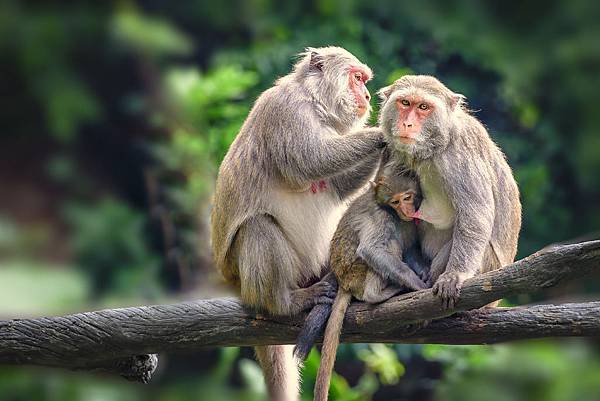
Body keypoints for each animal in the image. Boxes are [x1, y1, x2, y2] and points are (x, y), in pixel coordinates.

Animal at [211, 47, 384, 400]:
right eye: (357, 78)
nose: (366, 95)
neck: (315, 104)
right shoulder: (286, 111)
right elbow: (309, 159)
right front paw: (382, 133)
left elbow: (338, 186)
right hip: (246, 273)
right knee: (258, 227)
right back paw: (285, 302)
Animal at [310, 159, 432, 400]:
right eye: (395, 201)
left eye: (407, 197)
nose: (404, 210)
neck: (391, 211)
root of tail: (345, 282)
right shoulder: (381, 215)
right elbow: (372, 249)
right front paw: (415, 283)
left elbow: (410, 248)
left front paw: (422, 271)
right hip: (358, 273)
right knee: (387, 244)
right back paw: (378, 294)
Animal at [378, 74, 524, 306]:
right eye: (405, 103)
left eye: (423, 107)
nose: (407, 123)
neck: (432, 148)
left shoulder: (460, 151)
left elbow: (476, 214)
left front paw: (455, 275)